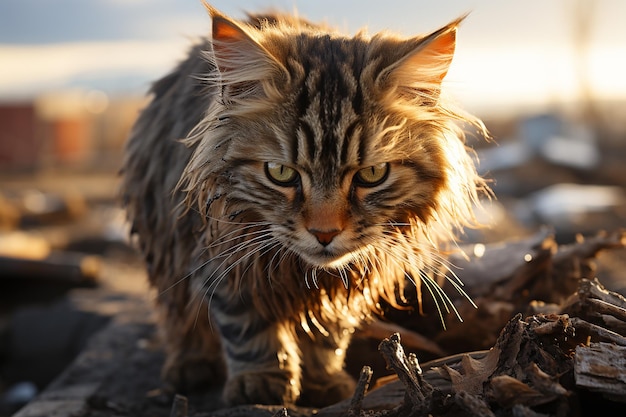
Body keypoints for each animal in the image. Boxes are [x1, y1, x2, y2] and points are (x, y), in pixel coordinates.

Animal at [118, 0, 488, 406]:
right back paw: (189, 366)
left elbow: (327, 333)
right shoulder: (220, 255)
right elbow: (246, 326)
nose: (324, 233)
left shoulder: (345, 285)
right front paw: (261, 381)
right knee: (178, 319)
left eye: (372, 174)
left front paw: (323, 380)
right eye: (280, 173)